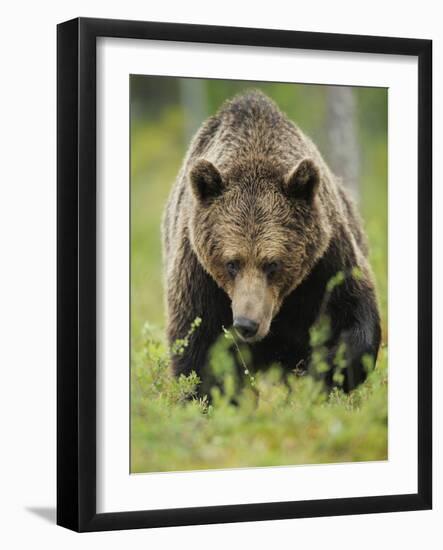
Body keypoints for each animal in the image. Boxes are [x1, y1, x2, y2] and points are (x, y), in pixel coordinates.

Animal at [163, 89, 382, 392]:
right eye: (232, 263)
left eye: (273, 264)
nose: (246, 324)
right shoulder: (198, 271)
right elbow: (198, 346)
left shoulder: (326, 260)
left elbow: (354, 313)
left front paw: (323, 371)